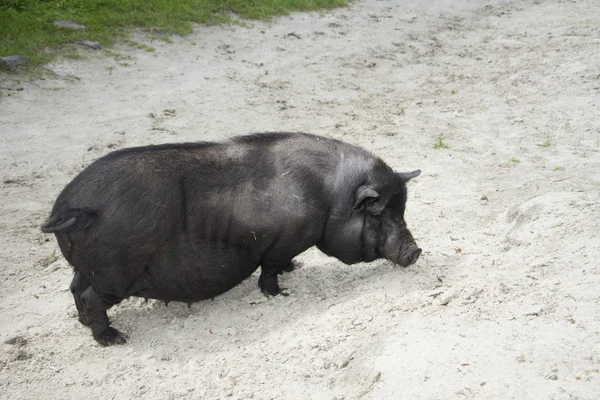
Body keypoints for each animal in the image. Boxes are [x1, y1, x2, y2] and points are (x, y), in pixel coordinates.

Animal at [41, 133, 422, 346]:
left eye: (401, 208)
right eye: (378, 214)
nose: (416, 250)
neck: (330, 200)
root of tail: (68, 207)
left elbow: (281, 264)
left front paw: (296, 268)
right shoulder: (282, 241)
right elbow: (269, 271)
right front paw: (281, 293)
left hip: (88, 267)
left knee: (75, 288)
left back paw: (85, 324)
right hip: (114, 274)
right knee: (89, 296)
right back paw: (114, 339)